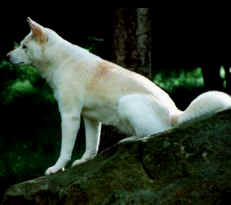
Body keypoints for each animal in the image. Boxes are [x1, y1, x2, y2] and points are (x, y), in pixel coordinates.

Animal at [7, 17, 231, 175]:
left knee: (154, 133)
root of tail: (176, 114)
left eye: (24, 46)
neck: (61, 61)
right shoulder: (90, 118)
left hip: (127, 103)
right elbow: (91, 146)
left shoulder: (70, 116)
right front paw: (84, 160)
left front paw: (56, 168)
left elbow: (65, 150)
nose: (7, 56)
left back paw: (128, 140)